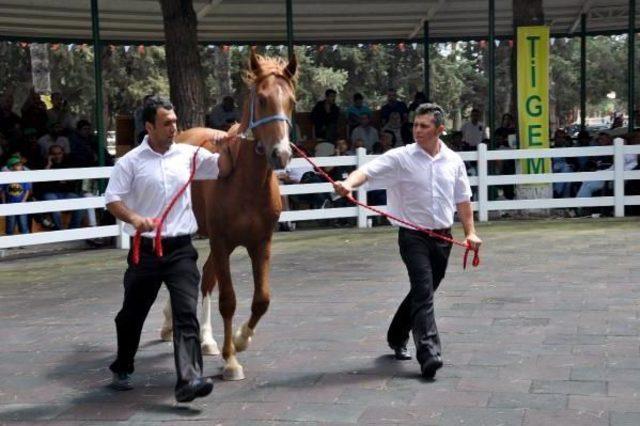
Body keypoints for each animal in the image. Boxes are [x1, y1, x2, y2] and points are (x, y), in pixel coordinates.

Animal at [160, 50, 300, 380]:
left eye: (291, 100)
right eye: (262, 99)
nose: (281, 154)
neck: (243, 181)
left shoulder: (260, 244)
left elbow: (261, 300)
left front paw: (239, 340)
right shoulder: (222, 242)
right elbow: (228, 300)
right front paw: (230, 361)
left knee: (206, 279)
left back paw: (207, 339)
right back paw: (173, 326)